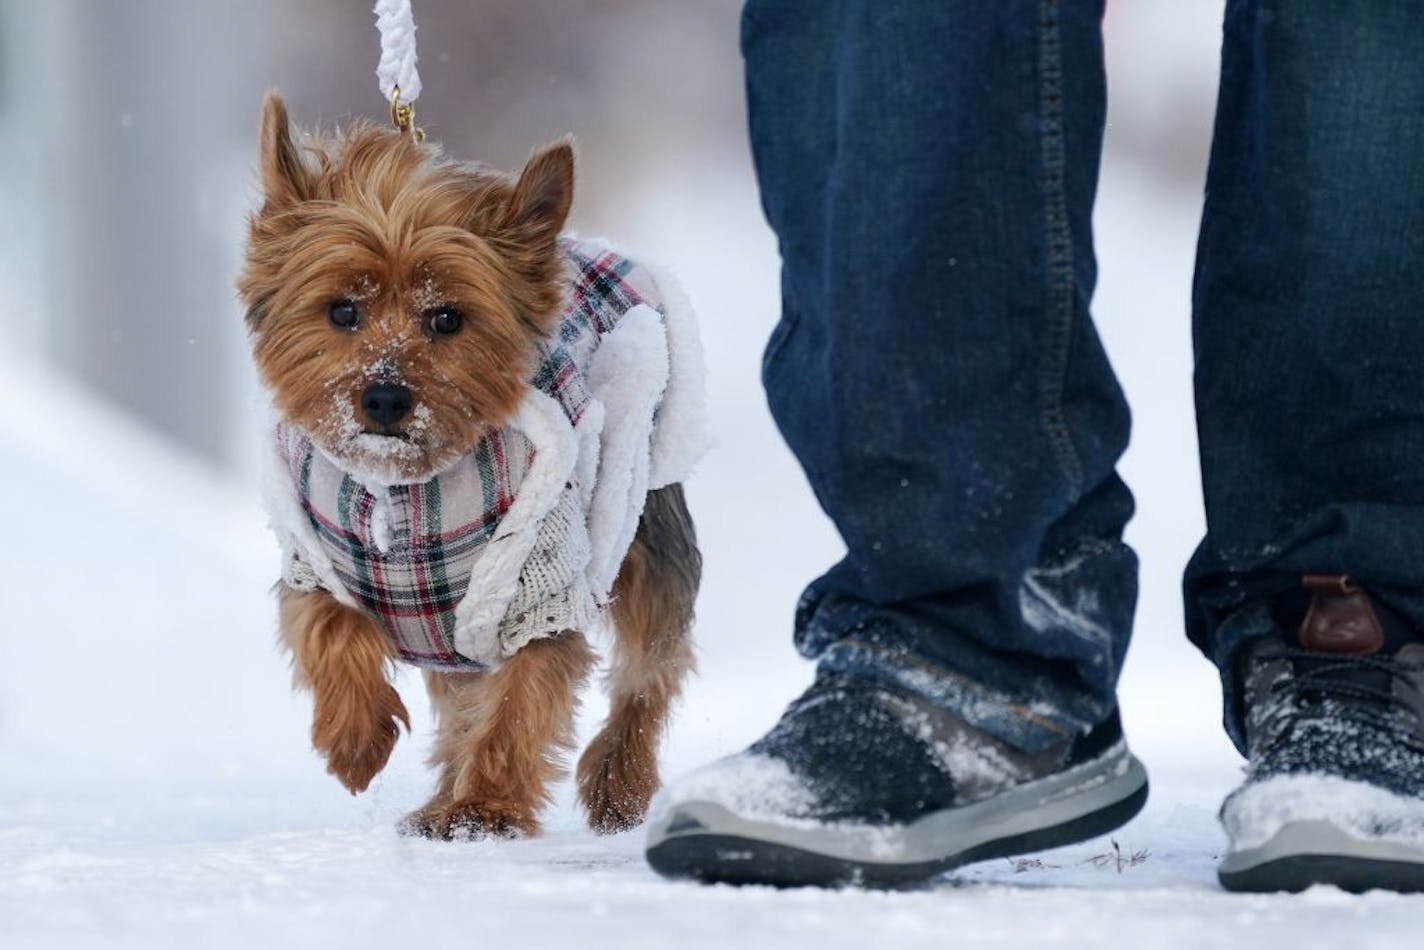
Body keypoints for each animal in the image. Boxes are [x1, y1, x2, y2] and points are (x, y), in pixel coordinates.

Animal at [236, 94, 709, 837]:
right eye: (341, 310)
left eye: (448, 319)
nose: (385, 397)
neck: (405, 485)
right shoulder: (314, 561)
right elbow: (329, 628)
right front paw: (356, 740)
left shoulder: (538, 587)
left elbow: (521, 699)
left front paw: (483, 810)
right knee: (462, 698)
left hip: (646, 524)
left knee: (648, 669)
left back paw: (619, 784)